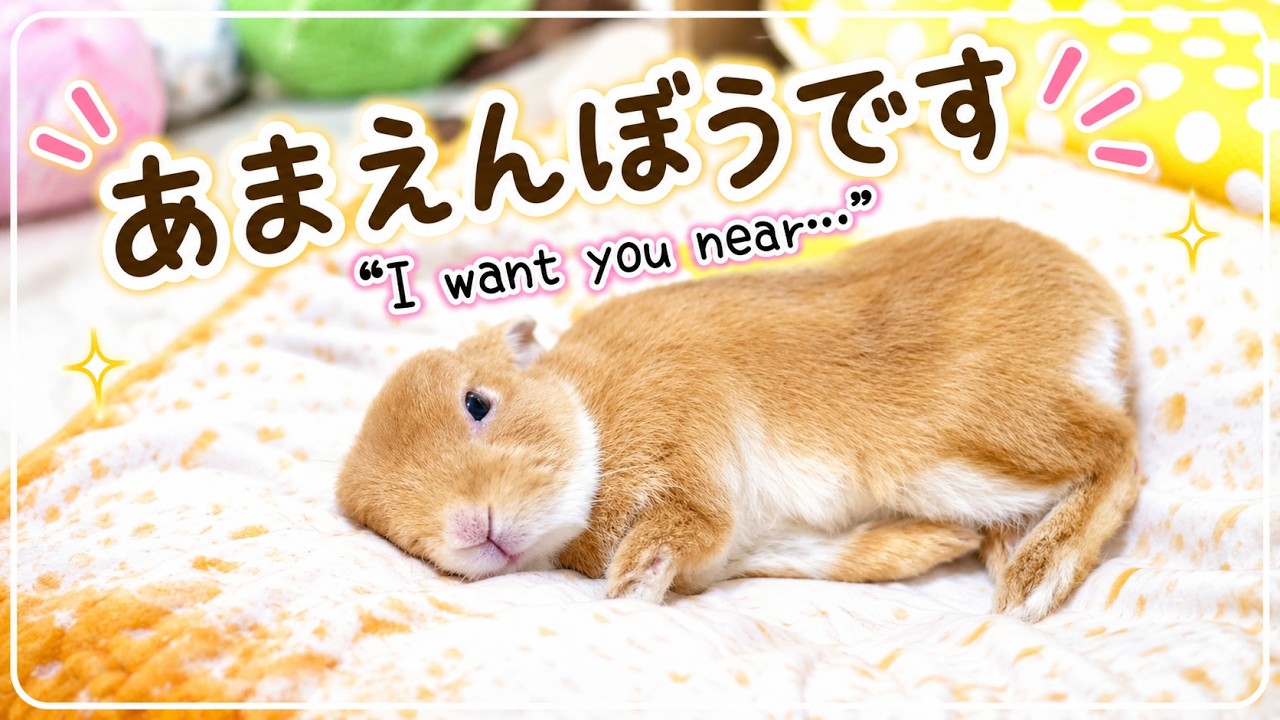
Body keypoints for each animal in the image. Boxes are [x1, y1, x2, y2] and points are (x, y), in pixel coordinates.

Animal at [337, 218, 1139, 622]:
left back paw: (1034, 581)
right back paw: (1001, 551)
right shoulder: (765, 546)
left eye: (478, 403)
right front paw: (932, 547)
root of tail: (1101, 313)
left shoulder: (691, 443)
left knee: (1118, 453)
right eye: (389, 529)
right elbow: (832, 555)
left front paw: (630, 587)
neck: (590, 409)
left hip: (962, 442)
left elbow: (686, 522)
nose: (470, 525)